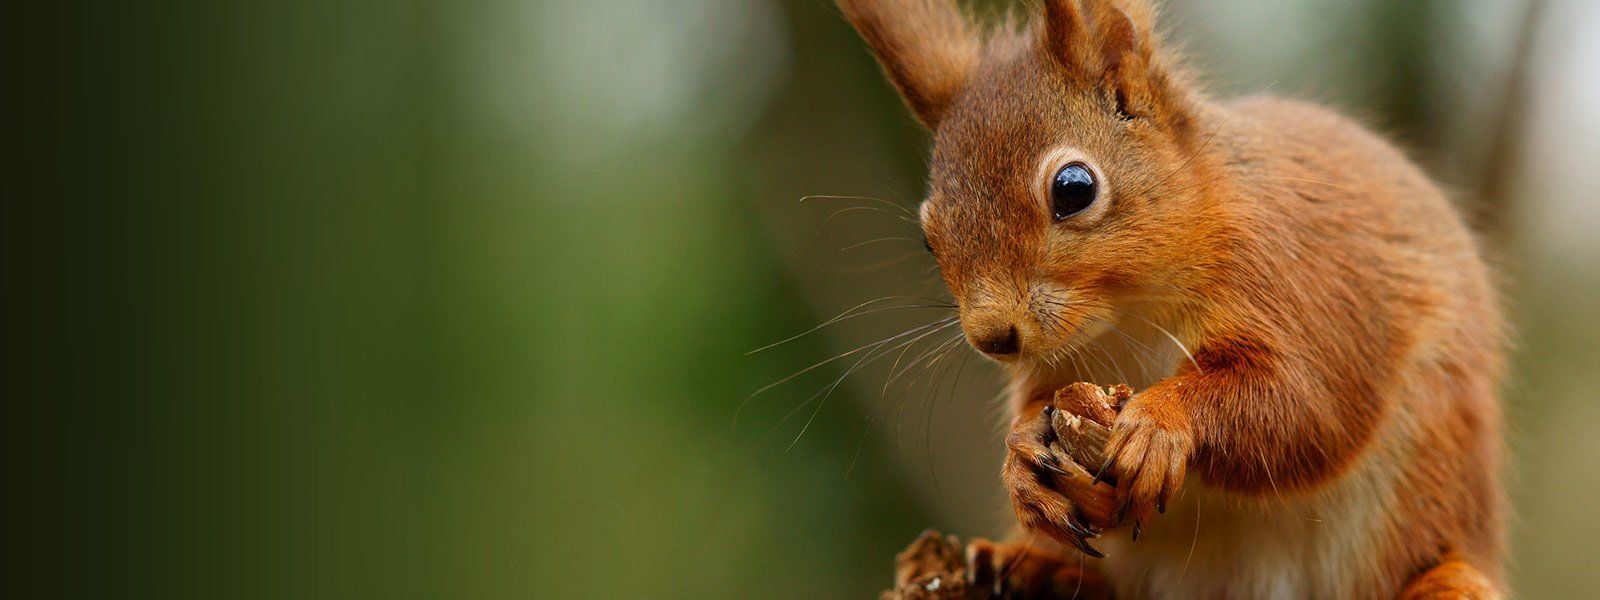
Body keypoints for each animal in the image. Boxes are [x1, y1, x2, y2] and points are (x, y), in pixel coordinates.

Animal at [838, 0, 1507, 598]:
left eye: (1073, 188)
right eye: (927, 235)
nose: (992, 337)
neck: (1130, 314)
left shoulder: (1302, 285)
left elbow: (1304, 405)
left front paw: (1161, 423)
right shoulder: (1056, 367)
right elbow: (1035, 409)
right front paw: (1022, 455)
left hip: (1428, 477)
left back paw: (1448, 583)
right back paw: (1033, 568)